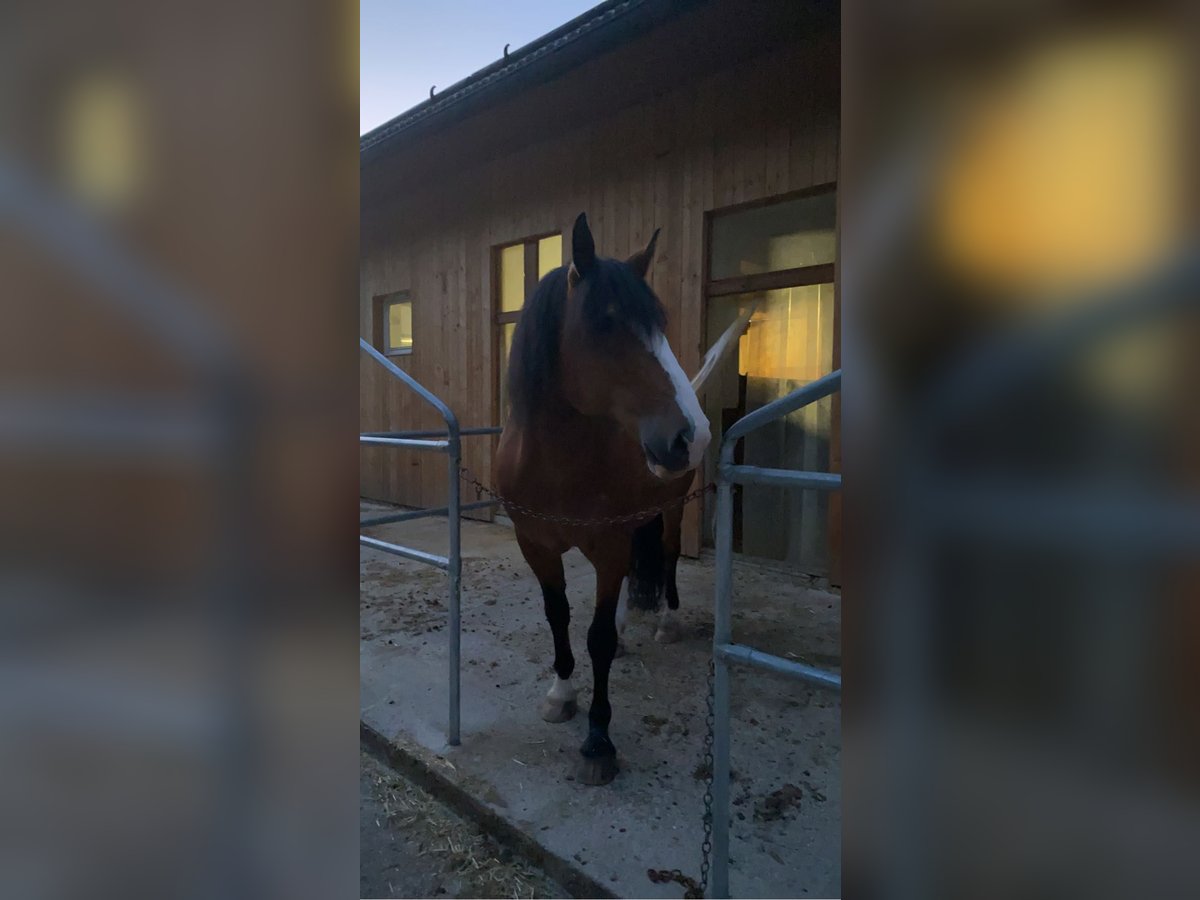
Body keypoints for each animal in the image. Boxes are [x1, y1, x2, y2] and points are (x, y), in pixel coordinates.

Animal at [492, 211, 705, 782]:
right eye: (606, 322)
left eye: (661, 325)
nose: (691, 435)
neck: (556, 465)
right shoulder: (535, 545)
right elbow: (559, 615)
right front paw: (561, 694)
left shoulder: (608, 548)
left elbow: (598, 637)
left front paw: (598, 740)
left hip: (670, 511)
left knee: (668, 558)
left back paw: (667, 622)